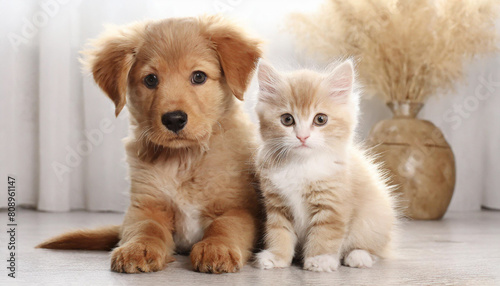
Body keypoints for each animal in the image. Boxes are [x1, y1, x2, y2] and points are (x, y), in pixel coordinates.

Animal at [36, 15, 262, 274]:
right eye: (151, 79)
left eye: (199, 76)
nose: (174, 119)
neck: (184, 159)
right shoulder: (146, 205)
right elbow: (146, 228)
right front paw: (138, 249)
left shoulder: (239, 206)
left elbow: (226, 224)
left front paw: (217, 248)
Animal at [254, 60, 398, 272]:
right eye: (287, 119)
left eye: (320, 119)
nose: (302, 137)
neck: (301, 165)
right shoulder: (277, 206)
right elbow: (279, 233)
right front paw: (276, 257)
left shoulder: (332, 205)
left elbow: (325, 234)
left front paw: (320, 259)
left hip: (373, 219)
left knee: (372, 248)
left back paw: (358, 256)